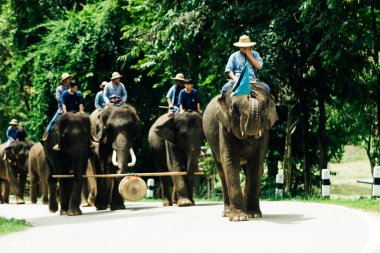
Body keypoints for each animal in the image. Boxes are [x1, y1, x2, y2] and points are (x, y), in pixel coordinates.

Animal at [202, 81, 280, 221]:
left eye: (264, 109)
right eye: (233, 109)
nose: (252, 93)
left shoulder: (264, 131)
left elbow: (256, 163)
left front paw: (253, 215)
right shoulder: (225, 127)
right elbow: (230, 161)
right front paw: (239, 218)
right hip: (212, 146)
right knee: (222, 172)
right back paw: (227, 213)